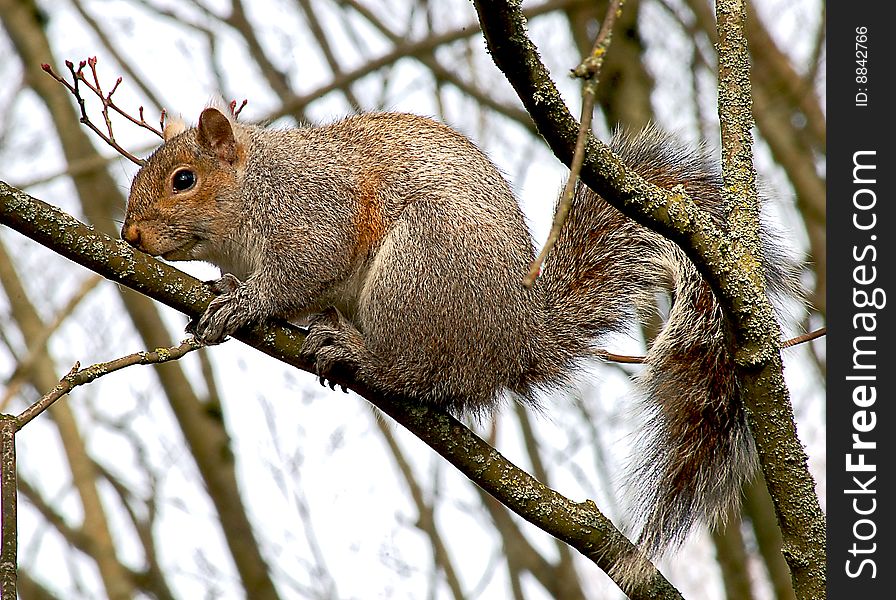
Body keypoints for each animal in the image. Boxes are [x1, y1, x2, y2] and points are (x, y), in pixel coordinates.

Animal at [119, 109, 800, 568]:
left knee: (416, 370)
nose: (129, 236)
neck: (256, 185)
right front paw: (228, 293)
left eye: (183, 180)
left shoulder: (314, 214)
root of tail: (514, 340)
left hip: (415, 270)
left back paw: (360, 354)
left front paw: (241, 303)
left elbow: (303, 272)